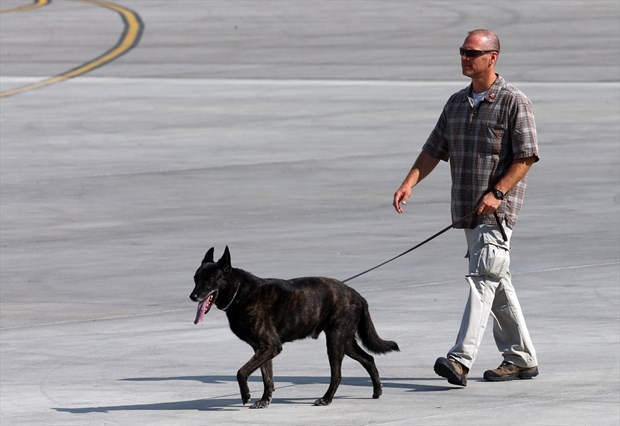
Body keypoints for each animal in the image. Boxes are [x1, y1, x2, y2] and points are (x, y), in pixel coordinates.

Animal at [189, 248, 400, 408]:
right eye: (195, 279)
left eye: (209, 281)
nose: (192, 296)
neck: (240, 292)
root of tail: (358, 296)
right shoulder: (263, 349)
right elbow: (267, 377)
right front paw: (265, 400)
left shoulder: (270, 346)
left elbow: (242, 372)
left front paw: (246, 394)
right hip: (345, 342)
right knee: (368, 359)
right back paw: (377, 391)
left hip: (335, 341)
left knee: (337, 374)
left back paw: (326, 399)